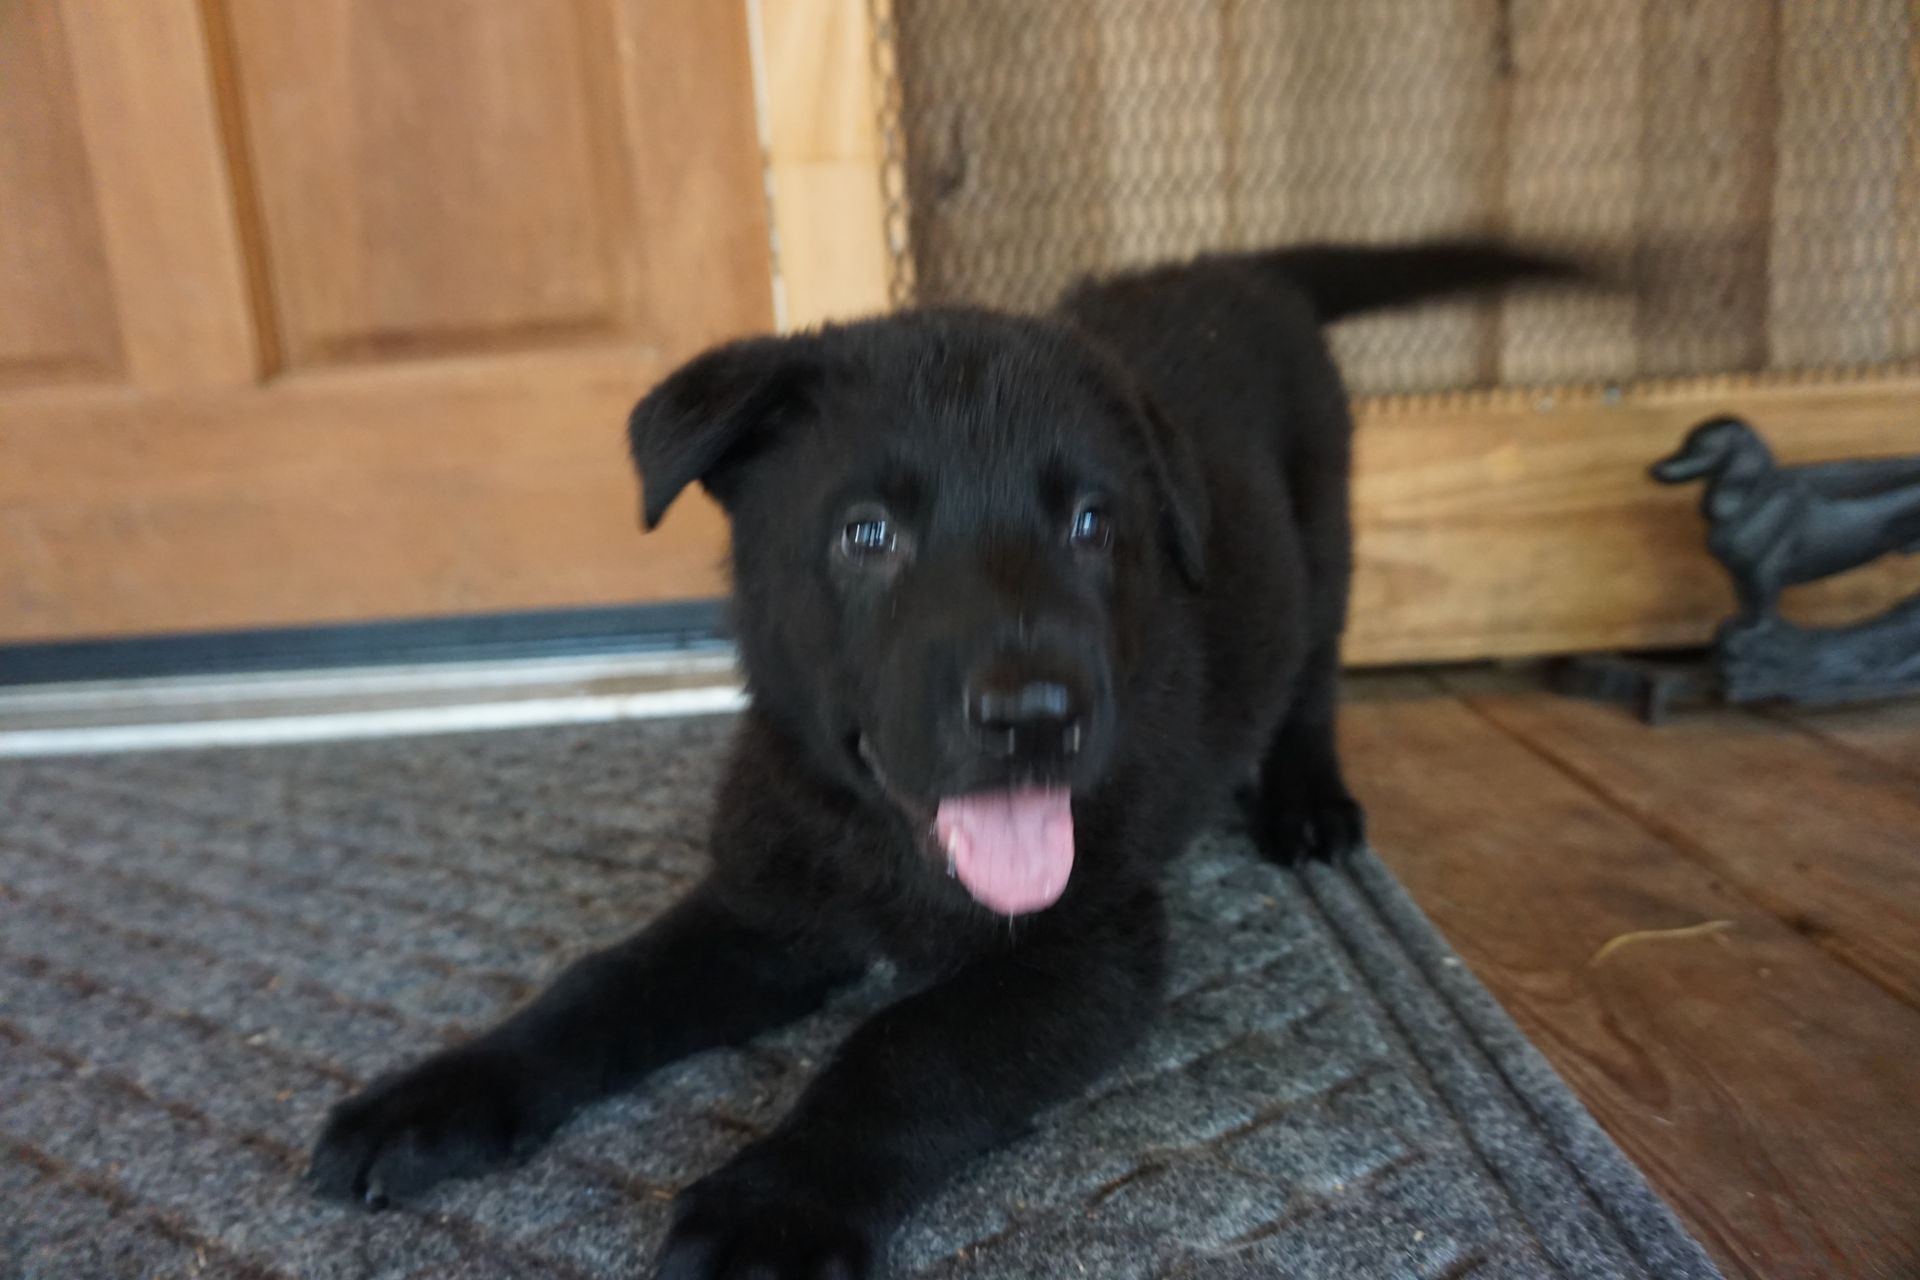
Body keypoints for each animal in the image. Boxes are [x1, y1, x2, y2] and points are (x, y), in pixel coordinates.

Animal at [311, 237, 1559, 1274]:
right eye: (868, 533)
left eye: (1093, 524)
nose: (1036, 714)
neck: (891, 851)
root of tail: (1235, 269)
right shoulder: (765, 901)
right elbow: (603, 983)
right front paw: (436, 1095)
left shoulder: (1088, 946)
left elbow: (907, 1045)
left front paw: (774, 1204)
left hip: (1326, 528)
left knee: (1312, 677)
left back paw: (1307, 802)